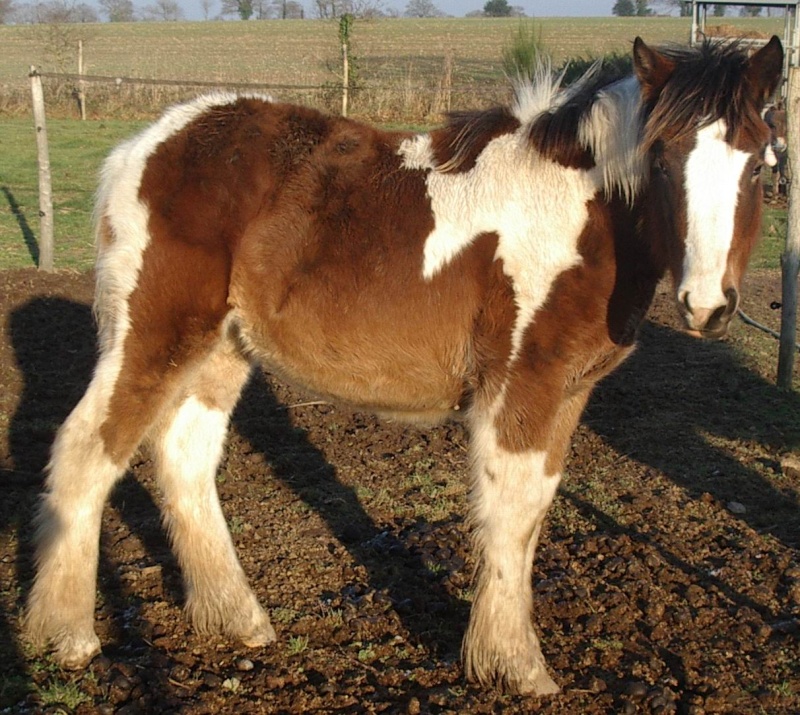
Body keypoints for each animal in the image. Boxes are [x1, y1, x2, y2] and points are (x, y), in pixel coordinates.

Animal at [25, 36, 780, 696]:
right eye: (664, 160)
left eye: (759, 167)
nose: (708, 305)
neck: (581, 212)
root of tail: (144, 146)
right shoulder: (522, 387)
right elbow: (509, 513)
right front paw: (516, 667)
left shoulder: (568, 393)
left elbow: (534, 509)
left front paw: (502, 653)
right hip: (154, 333)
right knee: (87, 450)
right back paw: (67, 635)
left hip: (221, 348)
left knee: (184, 457)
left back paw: (238, 619)